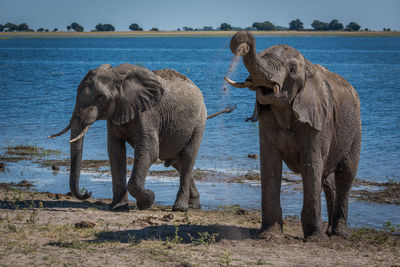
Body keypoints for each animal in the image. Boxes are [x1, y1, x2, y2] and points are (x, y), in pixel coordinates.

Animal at [48, 63, 234, 214]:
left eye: (100, 98)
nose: (88, 192)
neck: (117, 75)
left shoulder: (148, 113)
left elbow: (149, 151)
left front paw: (148, 200)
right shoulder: (115, 114)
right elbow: (115, 151)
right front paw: (119, 208)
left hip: (199, 122)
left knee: (187, 158)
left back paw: (180, 208)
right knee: (177, 162)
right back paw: (194, 205)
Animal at [225, 30, 362, 241]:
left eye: (291, 69)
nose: (244, 39)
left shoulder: (319, 120)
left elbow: (311, 165)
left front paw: (315, 240)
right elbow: (270, 164)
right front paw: (269, 236)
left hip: (355, 128)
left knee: (346, 175)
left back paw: (338, 235)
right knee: (327, 180)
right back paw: (329, 231)